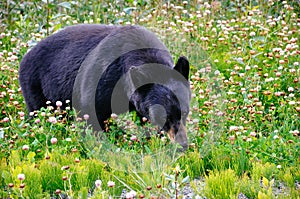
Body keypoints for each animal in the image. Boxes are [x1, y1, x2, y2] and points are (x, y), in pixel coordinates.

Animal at [19, 24, 190, 148]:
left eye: (185, 112)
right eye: (163, 116)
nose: (183, 144)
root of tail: (25, 56)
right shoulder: (100, 80)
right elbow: (91, 113)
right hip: (35, 87)